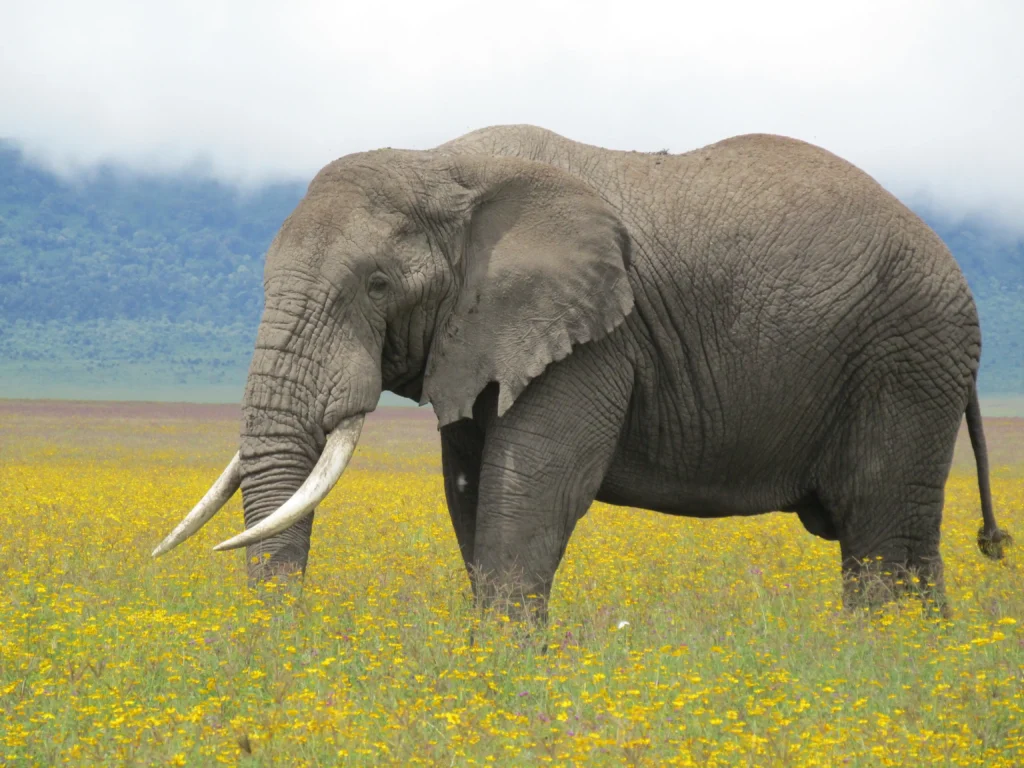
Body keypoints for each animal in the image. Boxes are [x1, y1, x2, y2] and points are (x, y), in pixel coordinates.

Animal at [152, 124, 1011, 620]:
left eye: (377, 286)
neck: (447, 167)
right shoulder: (479, 337)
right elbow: (470, 490)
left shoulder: (596, 335)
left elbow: (535, 485)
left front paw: (504, 682)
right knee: (907, 543)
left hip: (907, 359)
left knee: (879, 536)